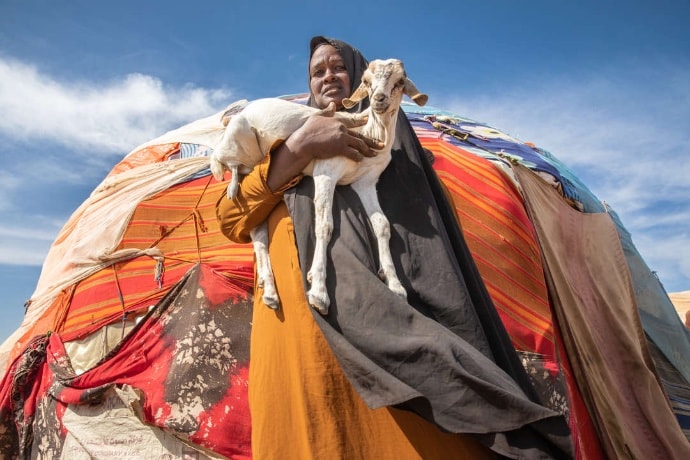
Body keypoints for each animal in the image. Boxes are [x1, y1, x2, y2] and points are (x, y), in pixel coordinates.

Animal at [210, 59, 424, 314]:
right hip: (239, 138)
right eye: (366, 81)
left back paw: (269, 291)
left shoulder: (367, 181)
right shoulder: (326, 172)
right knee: (221, 160)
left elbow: (382, 225)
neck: (368, 132)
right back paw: (230, 183)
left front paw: (395, 285)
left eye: (400, 82)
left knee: (258, 232)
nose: (379, 99)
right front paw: (319, 292)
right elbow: (324, 225)